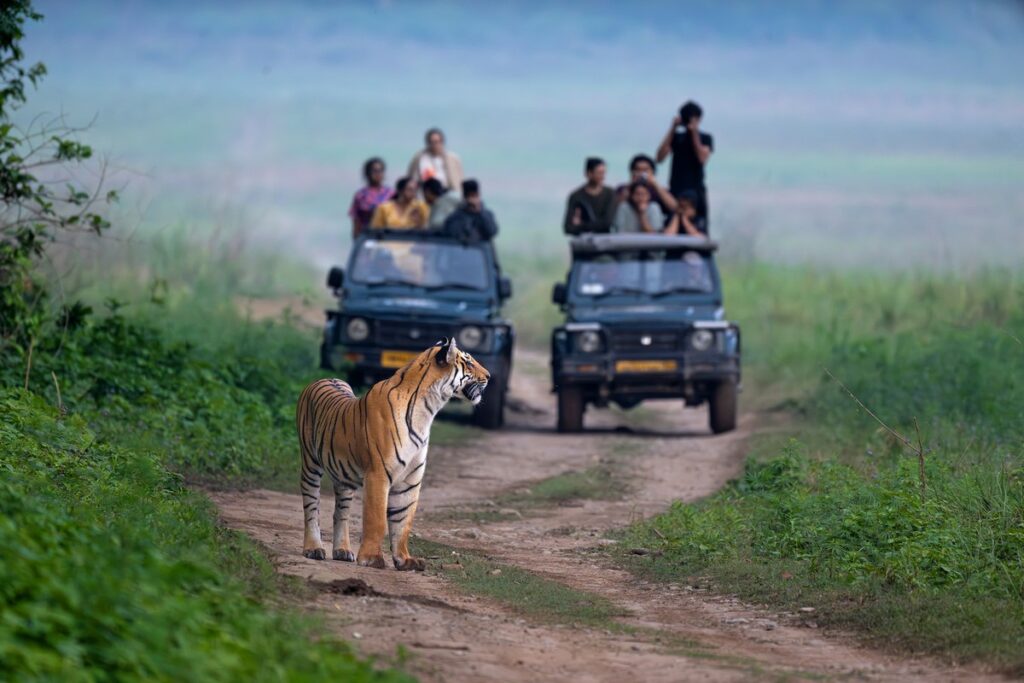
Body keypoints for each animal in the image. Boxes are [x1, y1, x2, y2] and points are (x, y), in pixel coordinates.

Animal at [296, 337, 489, 570]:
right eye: (468, 362)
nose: (489, 376)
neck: (428, 408)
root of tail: (322, 379)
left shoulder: (410, 479)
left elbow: (403, 521)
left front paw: (405, 560)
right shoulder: (378, 473)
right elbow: (377, 519)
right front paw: (371, 558)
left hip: (343, 476)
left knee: (340, 512)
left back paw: (342, 551)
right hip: (310, 463)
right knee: (311, 507)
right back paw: (313, 548)